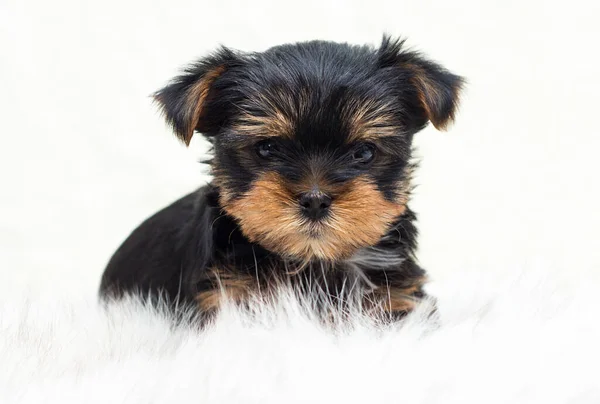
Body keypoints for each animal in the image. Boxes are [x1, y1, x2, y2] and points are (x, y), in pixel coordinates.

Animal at [99, 36, 464, 324]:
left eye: (363, 152)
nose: (315, 199)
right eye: (267, 148)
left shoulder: (397, 297)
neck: (311, 263)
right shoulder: (226, 296)